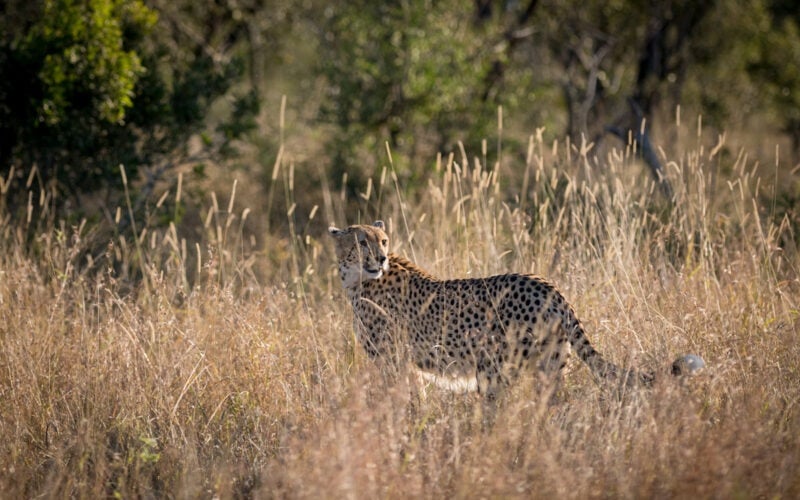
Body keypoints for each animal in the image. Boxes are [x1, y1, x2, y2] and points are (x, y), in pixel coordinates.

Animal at [328, 220, 702, 399]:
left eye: (383, 241)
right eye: (362, 242)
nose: (380, 258)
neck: (359, 280)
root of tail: (546, 283)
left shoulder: (392, 360)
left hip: (496, 367)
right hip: (549, 365)